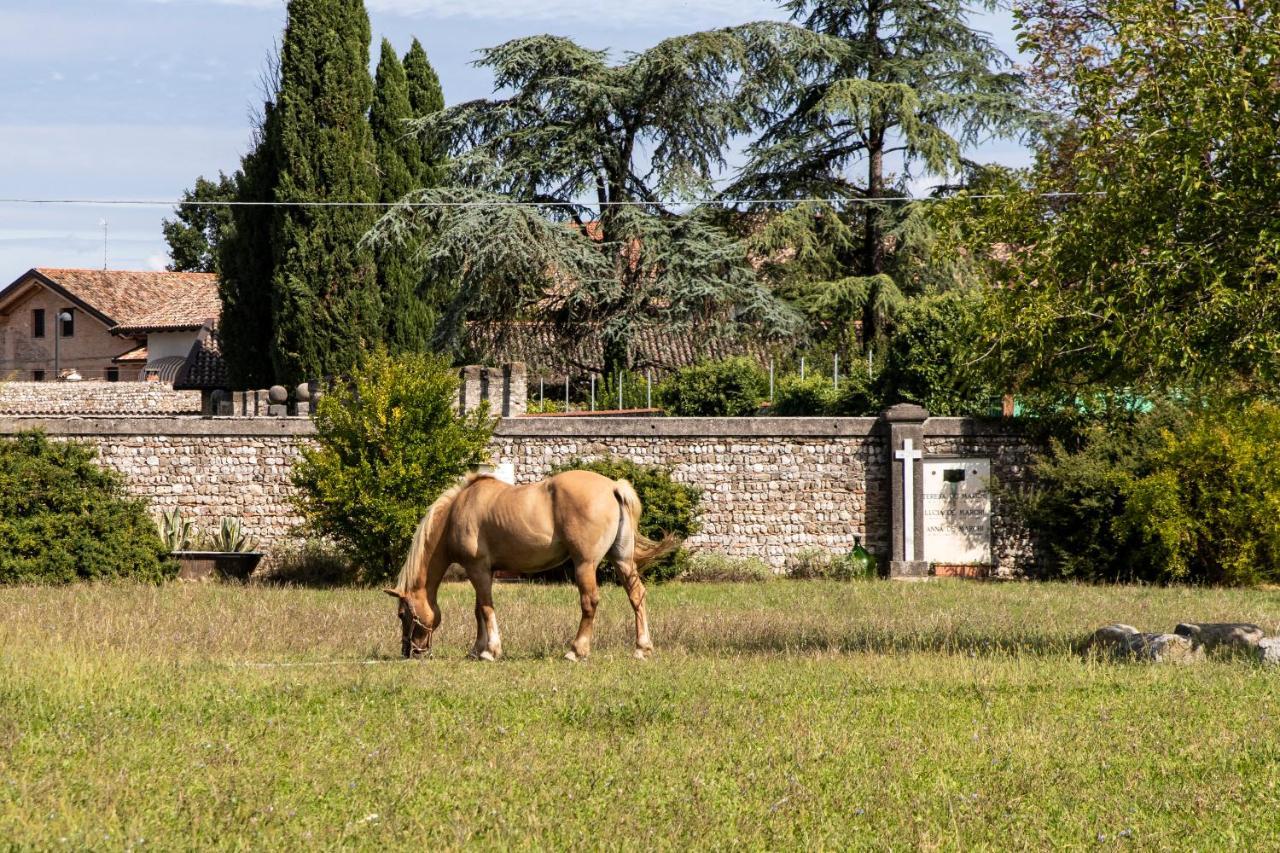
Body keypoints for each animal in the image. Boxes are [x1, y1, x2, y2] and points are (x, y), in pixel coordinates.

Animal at [381, 468, 675, 660]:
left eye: (402, 614)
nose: (409, 652)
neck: (458, 511)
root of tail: (613, 487)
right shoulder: (484, 572)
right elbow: (478, 610)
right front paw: (477, 649)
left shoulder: (477, 569)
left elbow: (485, 608)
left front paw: (490, 651)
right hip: (622, 560)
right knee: (637, 596)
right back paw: (642, 647)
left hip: (585, 564)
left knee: (590, 602)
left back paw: (576, 650)